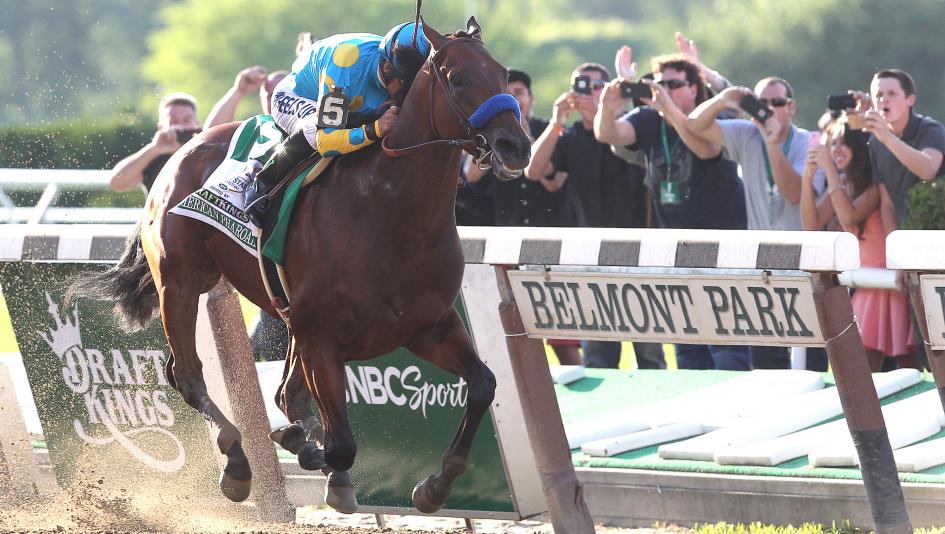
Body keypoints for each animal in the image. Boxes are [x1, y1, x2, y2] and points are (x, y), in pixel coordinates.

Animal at [72, 18, 532, 516]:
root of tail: (180, 153)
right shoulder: (322, 338)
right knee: (188, 374)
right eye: (457, 78)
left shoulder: (428, 326)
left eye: (502, 73)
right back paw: (238, 464)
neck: (392, 218)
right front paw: (319, 463)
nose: (516, 145)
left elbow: (483, 384)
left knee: (284, 394)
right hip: (181, 284)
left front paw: (434, 487)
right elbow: (342, 445)